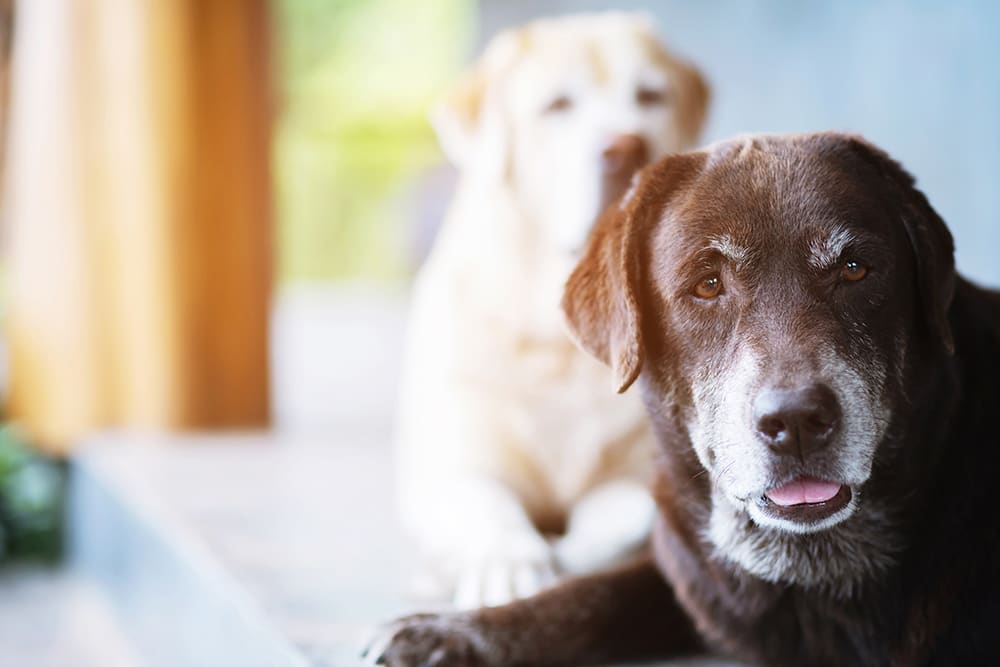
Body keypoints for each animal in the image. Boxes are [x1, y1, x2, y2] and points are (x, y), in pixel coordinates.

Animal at [366, 132, 1000, 667]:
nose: (795, 420)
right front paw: (452, 631)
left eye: (854, 269)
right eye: (708, 285)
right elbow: (593, 595)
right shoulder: (687, 571)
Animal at [394, 14, 708, 612]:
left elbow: (624, 519)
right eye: (557, 106)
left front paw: (573, 557)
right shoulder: (451, 471)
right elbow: (489, 509)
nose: (626, 144)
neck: (560, 346)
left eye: (650, 96)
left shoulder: (649, 472)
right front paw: (509, 565)